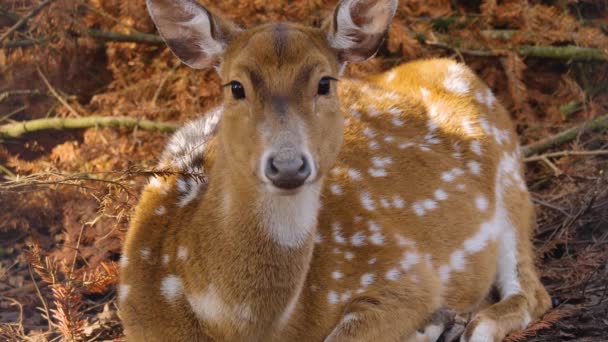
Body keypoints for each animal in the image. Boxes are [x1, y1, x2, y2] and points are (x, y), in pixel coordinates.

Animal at [117, 0, 552, 340]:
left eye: (324, 82)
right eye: (236, 86)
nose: (288, 164)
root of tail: (455, 66)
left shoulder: (402, 270)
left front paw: (429, 322)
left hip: (512, 187)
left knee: (531, 294)